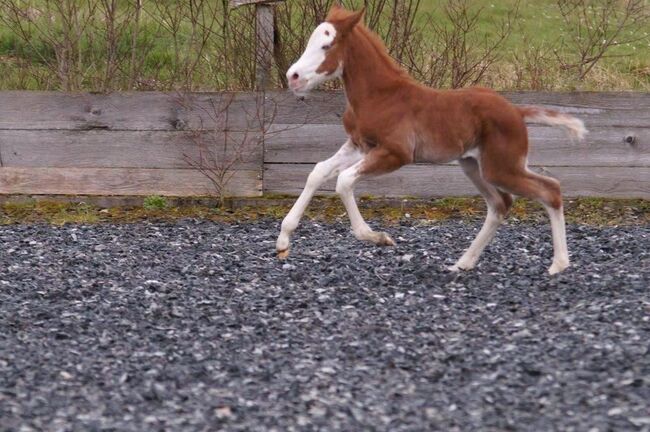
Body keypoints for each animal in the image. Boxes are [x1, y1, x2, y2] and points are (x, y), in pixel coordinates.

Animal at [274, 5, 584, 274]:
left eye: (327, 46)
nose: (293, 77)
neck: (380, 95)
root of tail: (517, 112)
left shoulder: (396, 153)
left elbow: (344, 181)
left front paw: (378, 237)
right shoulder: (359, 145)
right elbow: (318, 172)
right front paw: (283, 241)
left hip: (502, 167)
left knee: (550, 190)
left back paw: (558, 265)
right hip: (475, 165)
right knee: (500, 204)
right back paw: (463, 263)